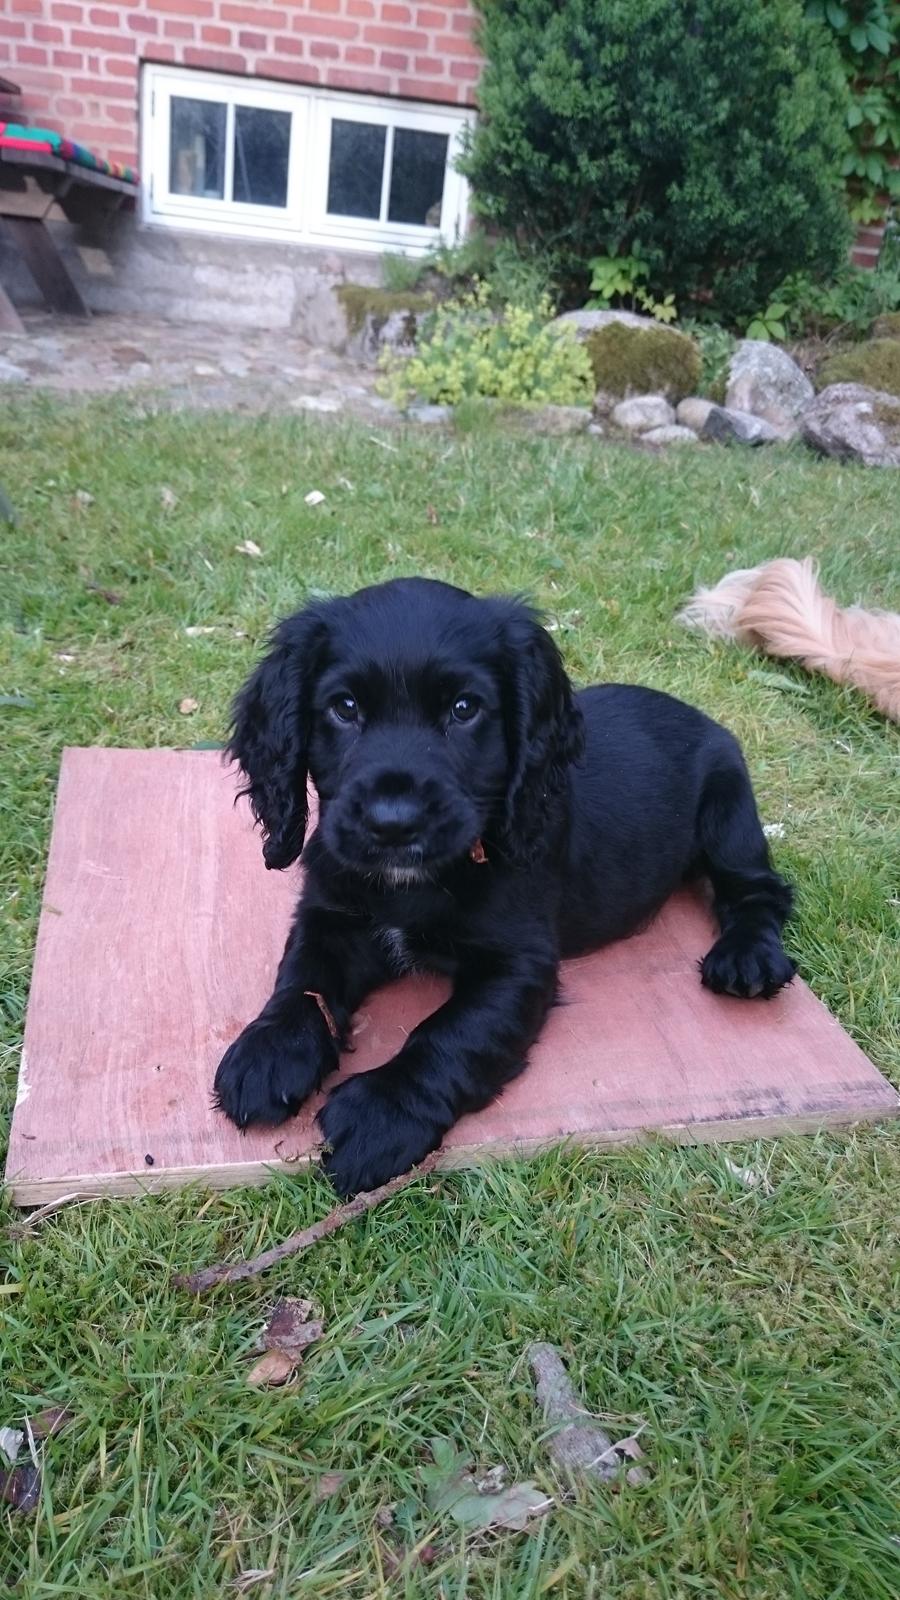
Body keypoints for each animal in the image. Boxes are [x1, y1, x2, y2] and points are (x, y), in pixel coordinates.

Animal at [211, 576, 791, 1190]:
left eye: (464, 709)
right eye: (344, 708)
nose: (393, 822)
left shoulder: (517, 962)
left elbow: (451, 1033)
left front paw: (381, 1112)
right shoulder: (331, 915)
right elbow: (303, 979)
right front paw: (270, 1051)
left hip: (729, 810)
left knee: (758, 889)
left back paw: (747, 958)